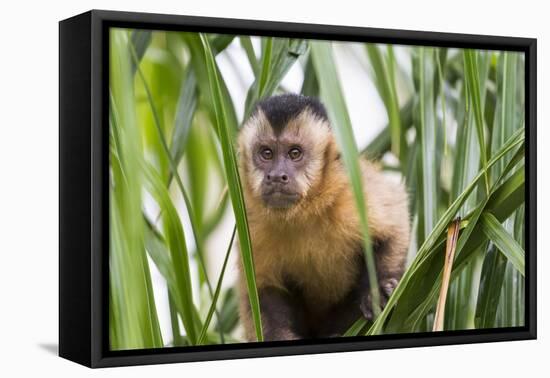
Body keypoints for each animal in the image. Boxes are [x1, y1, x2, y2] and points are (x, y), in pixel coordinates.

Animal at [236, 93, 410, 342]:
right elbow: (262, 288)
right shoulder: (251, 222)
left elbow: (394, 224)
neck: (304, 211)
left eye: (295, 153)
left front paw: (377, 291)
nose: (276, 176)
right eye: (266, 153)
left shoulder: (350, 193)